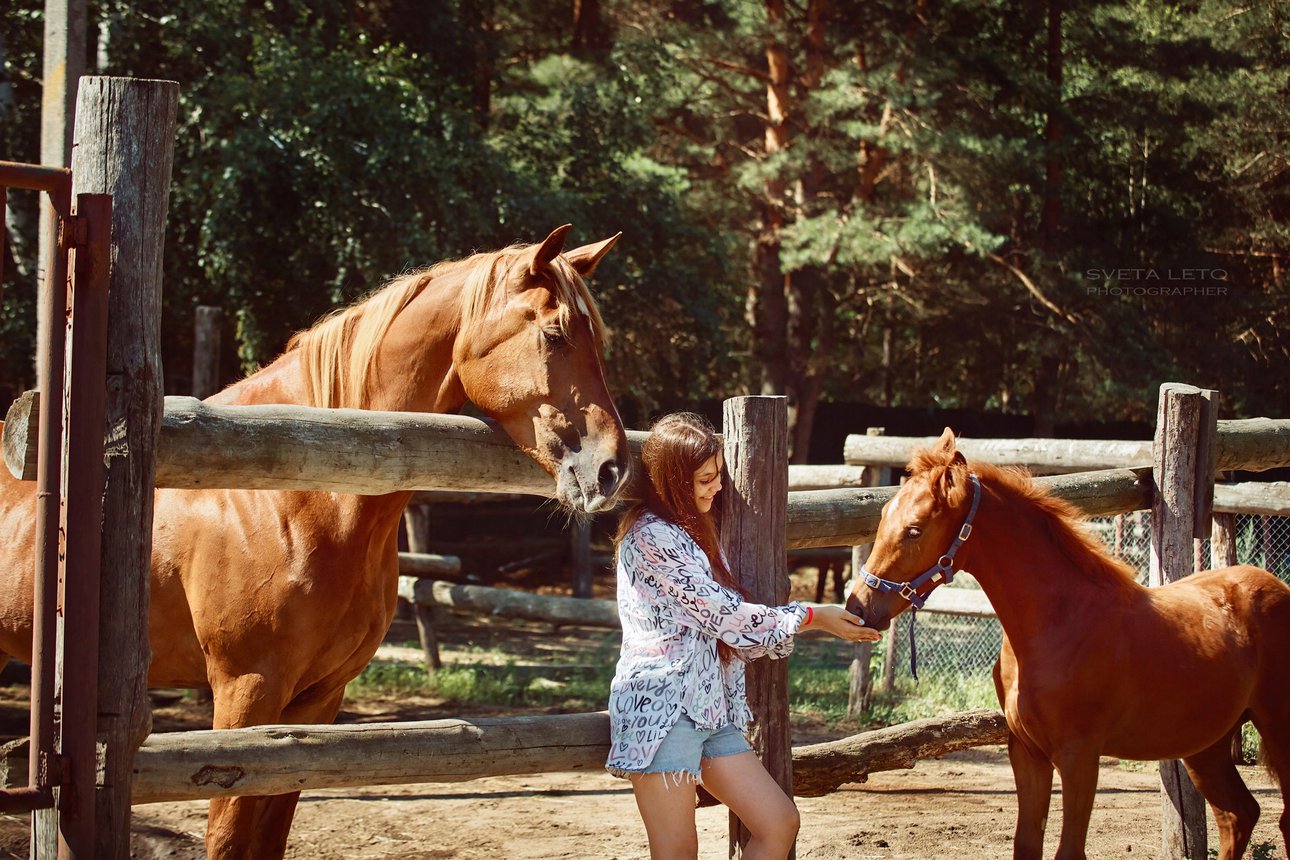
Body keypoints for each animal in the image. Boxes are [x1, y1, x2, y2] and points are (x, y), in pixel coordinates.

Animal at [0, 225, 629, 856]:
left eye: (598, 340)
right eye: (553, 333)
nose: (611, 470)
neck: (295, 493)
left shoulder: (317, 700)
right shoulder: (245, 695)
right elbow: (226, 836)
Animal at [846, 430, 1290, 860]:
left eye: (915, 529)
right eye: (883, 517)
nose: (860, 608)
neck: (1056, 624)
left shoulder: (1079, 757)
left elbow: (1069, 850)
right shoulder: (1027, 752)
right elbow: (1026, 844)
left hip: (1275, 728)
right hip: (1206, 744)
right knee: (1238, 815)